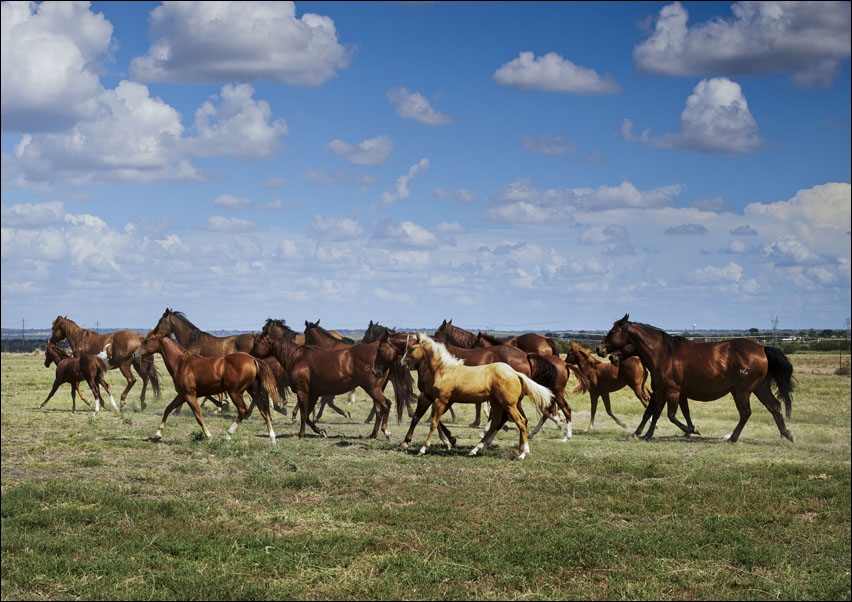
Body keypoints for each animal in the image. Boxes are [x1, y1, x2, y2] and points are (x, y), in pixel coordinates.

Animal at [135, 332, 279, 442]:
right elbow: (168, 409)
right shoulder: (182, 395)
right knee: (264, 411)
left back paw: (227, 435)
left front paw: (208, 435)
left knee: (244, 410)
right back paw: (272, 438)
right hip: (253, 391)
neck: (181, 363)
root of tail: (253, 359)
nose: (135, 354)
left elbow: (198, 415)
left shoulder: (190, 395)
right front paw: (157, 434)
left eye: (146, 340)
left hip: (235, 392)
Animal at [249, 331, 409, 440]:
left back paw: (386, 432)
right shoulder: (313, 394)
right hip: (376, 389)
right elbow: (308, 415)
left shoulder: (303, 392)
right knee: (378, 409)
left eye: (257, 343)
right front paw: (320, 431)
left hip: (373, 389)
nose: (249, 357)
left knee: (386, 404)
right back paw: (372, 435)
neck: (297, 358)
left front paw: (300, 434)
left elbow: (303, 414)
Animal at [400, 333, 553, 459]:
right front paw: (448, 441)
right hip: (498, 403)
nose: (402, 362)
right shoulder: (443, 400)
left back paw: (522, 453)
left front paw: (421, 449)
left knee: (520, 422)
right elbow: (435, 421)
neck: (445, 370)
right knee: (498, 423)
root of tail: (515, 373)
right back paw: (475, 449)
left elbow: (432, 422)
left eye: (411, 348)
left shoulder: (440, 400)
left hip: (509, 404)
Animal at [596, 314, 795, 443]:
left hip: (742, 391)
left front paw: (693, 430)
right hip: (760, 388)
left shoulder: (673, 391)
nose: (601, 350)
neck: (664, 354)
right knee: (774, 406)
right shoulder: (661, 391)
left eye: (612, 332)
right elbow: (654, 412)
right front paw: (645, 435)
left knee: (746, 413)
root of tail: (762, 349)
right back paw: (787, 435)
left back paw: (733, 438)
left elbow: (671, 415)